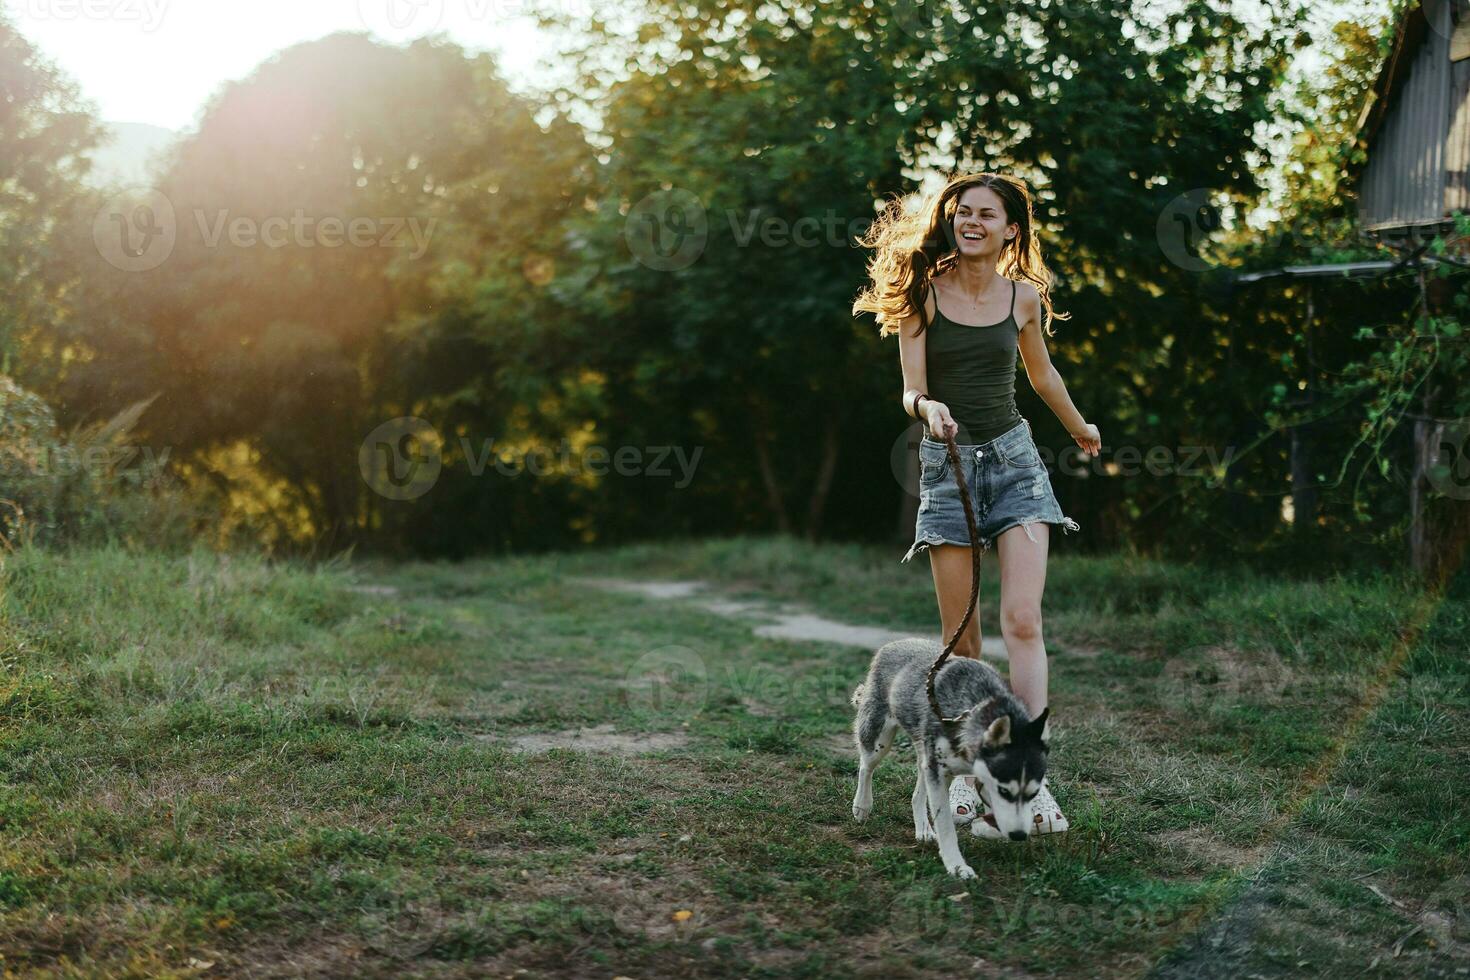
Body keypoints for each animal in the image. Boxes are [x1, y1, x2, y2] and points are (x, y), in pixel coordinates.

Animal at [852, 637, 1046, 881]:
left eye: (1034, 793)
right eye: (1004, 790)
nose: (1020, 835)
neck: (972, 708)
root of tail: (895, 643)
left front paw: (987, 828)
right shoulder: (938, 771)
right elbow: (945, 824)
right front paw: (956, 865)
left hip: (924, 755)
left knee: (916, 794)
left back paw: (923, 829)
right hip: (880, 741)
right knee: (865, 767)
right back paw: (861, 806)